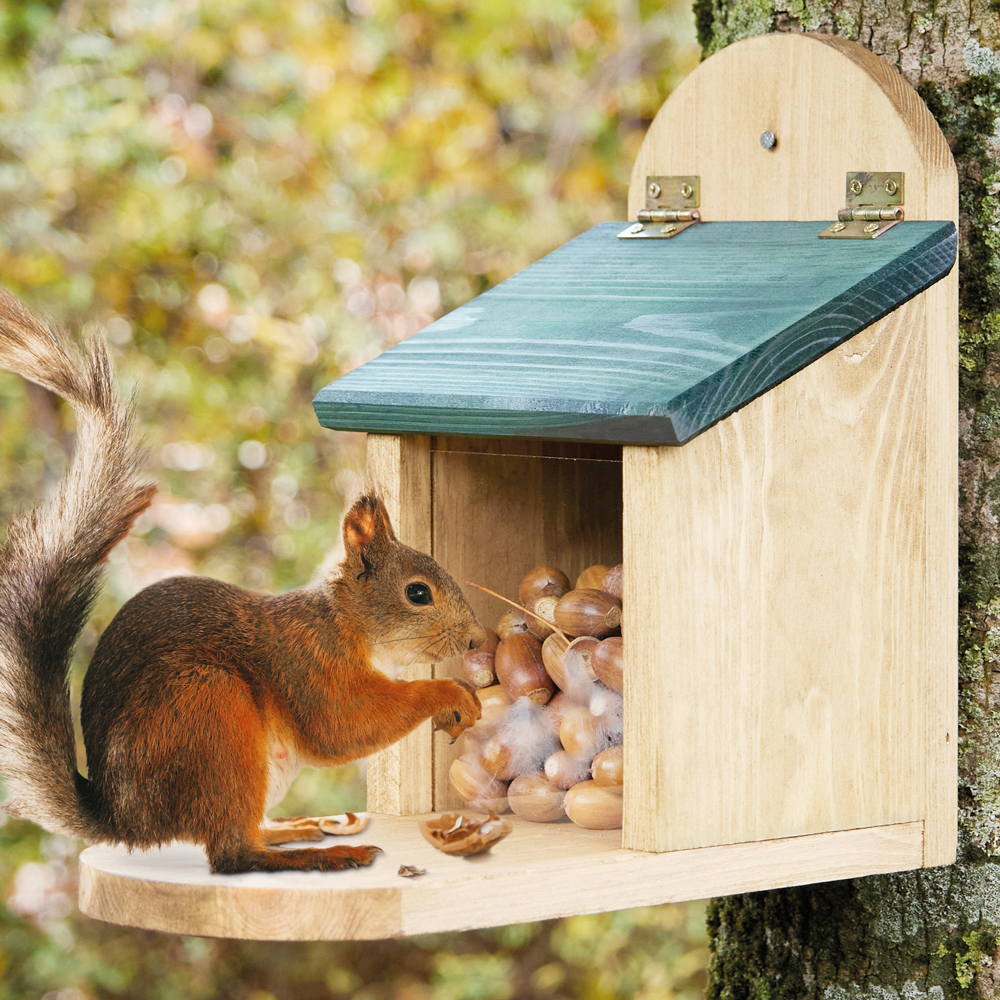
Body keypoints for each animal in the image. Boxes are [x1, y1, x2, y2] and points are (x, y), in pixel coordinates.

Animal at [0, 286, 488, 872]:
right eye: (418, 593)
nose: (474, 639)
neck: (346, 623)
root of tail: (126, 819)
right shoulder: (308, 663)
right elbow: (344, 725)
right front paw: (447, 691)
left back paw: (290, 829)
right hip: (209, 712)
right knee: (232, 854)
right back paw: (319, 855)